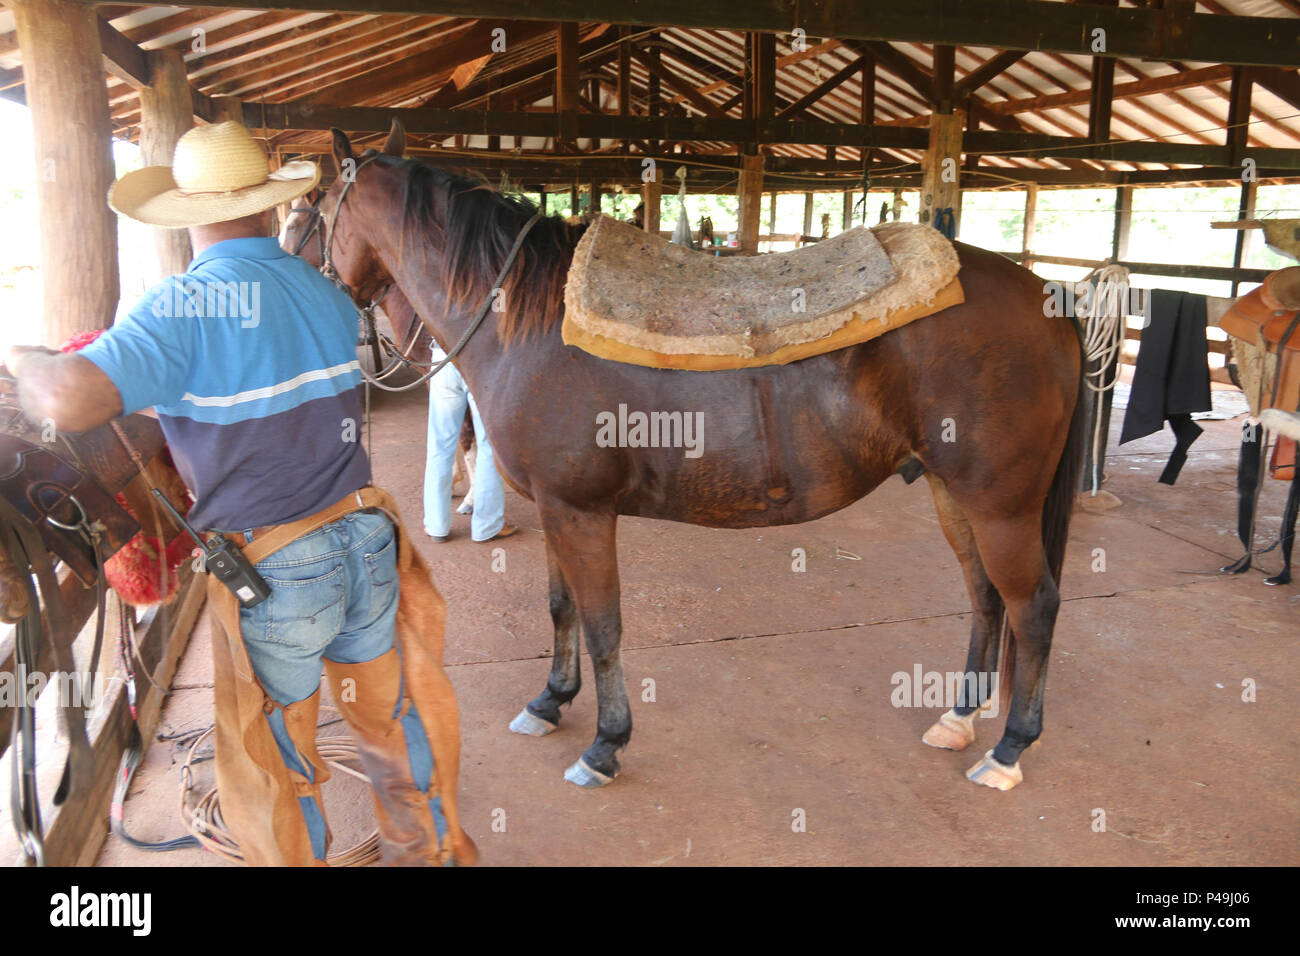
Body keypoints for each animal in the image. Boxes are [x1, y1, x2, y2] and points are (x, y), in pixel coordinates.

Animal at [309, 125, 1081, 790]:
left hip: (1002, 507)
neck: (527, 318)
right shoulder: (559, 509)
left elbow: (603, 625)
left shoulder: (583, 514)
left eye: (313, 208)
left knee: (1034, 605)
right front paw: (551, 701)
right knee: (986, 596)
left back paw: (1010, 748)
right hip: (956, 495)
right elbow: (561, 608)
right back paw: (960, 717)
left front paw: (606, 744)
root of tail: (1049, 298)